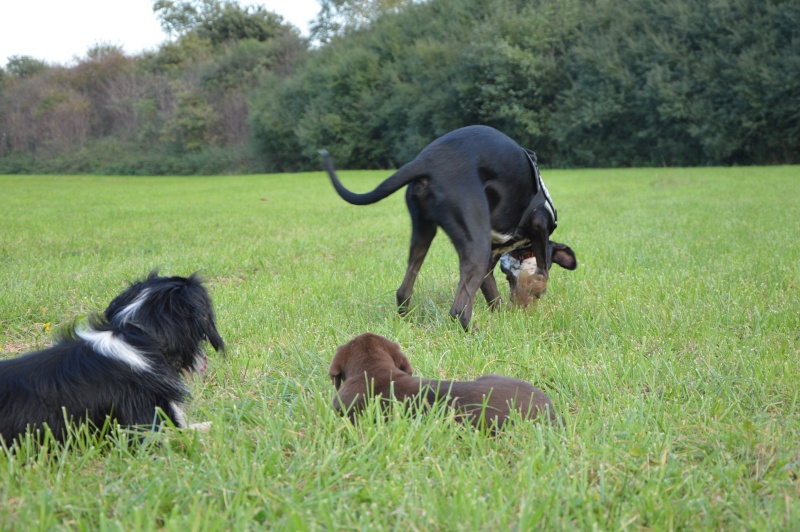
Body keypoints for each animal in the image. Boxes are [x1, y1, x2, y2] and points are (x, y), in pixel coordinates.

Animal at [318, 127, 576, 330]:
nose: (518, 305)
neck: (521, 248)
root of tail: (428, 160)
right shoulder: (538, 223)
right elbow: (543, 271)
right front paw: (535, 289)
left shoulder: (489, 265)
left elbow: (494, 295)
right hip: (476, 247)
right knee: (458, 312)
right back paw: (475, 333)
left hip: (424, 233)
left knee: (403, 291)